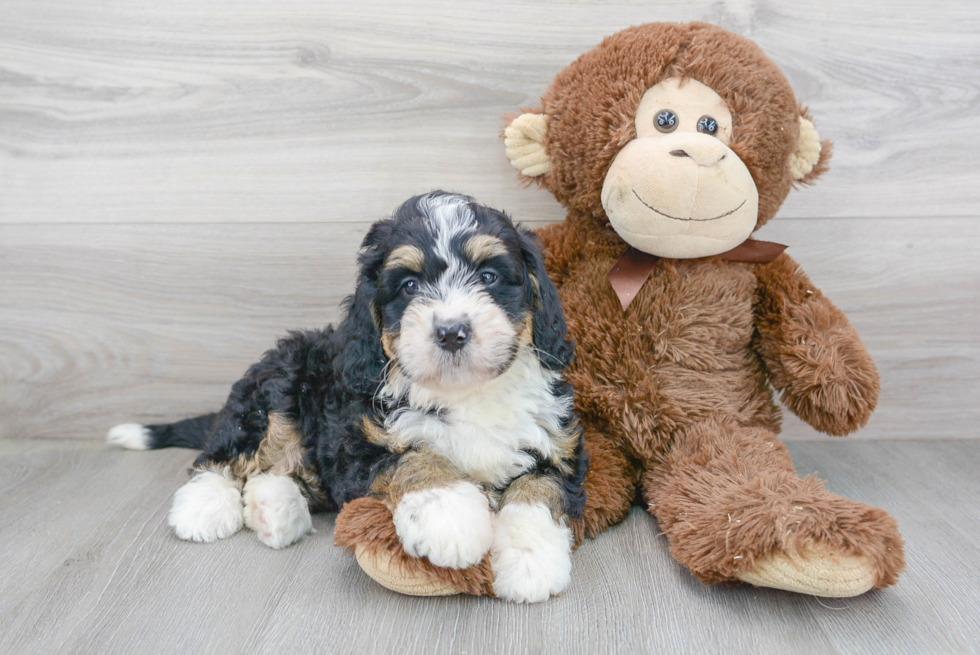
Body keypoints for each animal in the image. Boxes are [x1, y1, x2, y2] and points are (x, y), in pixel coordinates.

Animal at [112, 191, 592, 604]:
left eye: (489, 277)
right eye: (410, 286)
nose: (452, 332)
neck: (464, 391)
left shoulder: (558, 442)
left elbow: (540, 488)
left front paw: (530, 562)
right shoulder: (359, 443)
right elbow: (414, 458)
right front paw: (450, 515)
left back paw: (275, 510)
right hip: (277, 387)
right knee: (228, 453)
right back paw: (205, 507)